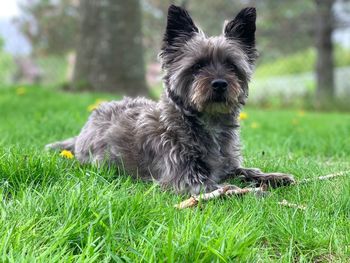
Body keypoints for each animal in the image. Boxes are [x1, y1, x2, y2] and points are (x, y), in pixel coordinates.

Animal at [45, 4, 294, 194]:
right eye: (198, 66)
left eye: (231, 66)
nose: (220, 84)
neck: (207, 124)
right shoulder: (183, 179)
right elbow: (226, 187)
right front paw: (254, 192)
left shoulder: (228, 166)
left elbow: (246, 171)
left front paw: (273, 177)